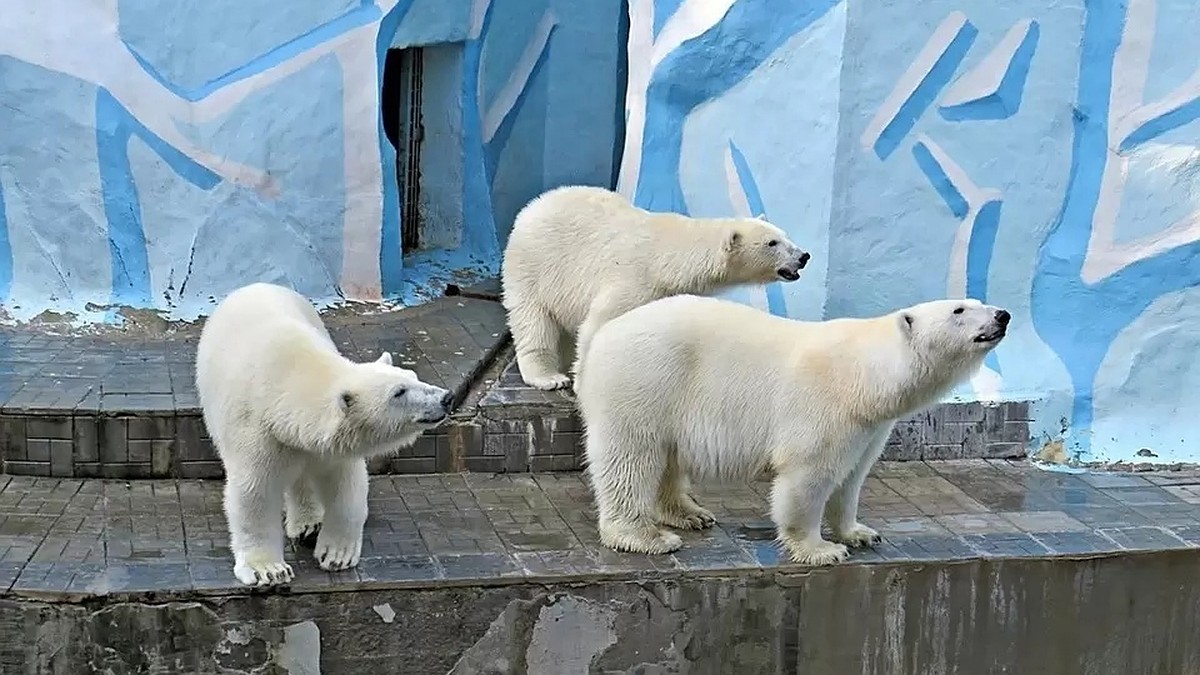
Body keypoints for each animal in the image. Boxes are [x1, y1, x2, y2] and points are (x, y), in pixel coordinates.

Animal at [196, 279, 451, 583]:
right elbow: (255, 493)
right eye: (399, 392)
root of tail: (255, 285)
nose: (446, 398)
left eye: (413, 377)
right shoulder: (257, 431)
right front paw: (269, 569)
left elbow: (346, 486)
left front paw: (337, 554)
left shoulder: (330, 446)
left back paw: (308, 523)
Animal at [501, 183, 811, 389]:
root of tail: (532, 207)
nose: (803, 256)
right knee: (534, 322)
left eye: (785, 235)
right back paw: (549, 377)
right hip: (533, 267)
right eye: (772, 243)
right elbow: (597, 326)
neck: (666, 258)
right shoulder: (633, 281)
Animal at [576, 294, 1008, 562]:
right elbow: (809, 475)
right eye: (959, 310)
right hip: (645, 379)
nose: (1002, 315)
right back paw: (646, 536)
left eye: (976, 300)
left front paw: (859, 532)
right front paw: (822, 549)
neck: (866, 376)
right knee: (631, 457)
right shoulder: (826, 406)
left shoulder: (871, 425)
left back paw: (690, 513)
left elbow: (853, 477)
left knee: (667, 456)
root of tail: (603, 334)